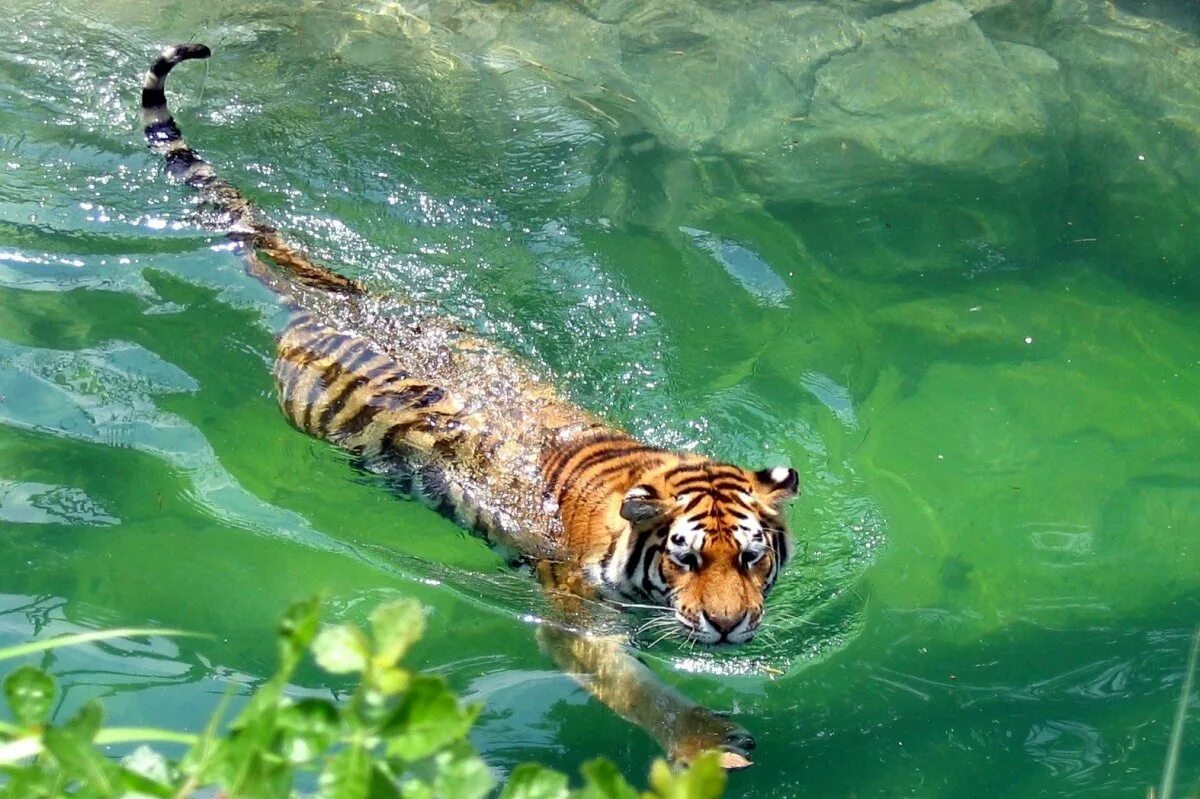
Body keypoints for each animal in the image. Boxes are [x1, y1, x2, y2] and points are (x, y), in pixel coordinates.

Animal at [142, 43, 796, 767]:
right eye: (685, 558)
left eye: (751, 557)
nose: (729, 625)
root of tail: (341, 297)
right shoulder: (576, 624)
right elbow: (634, 689)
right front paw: (707, 742)